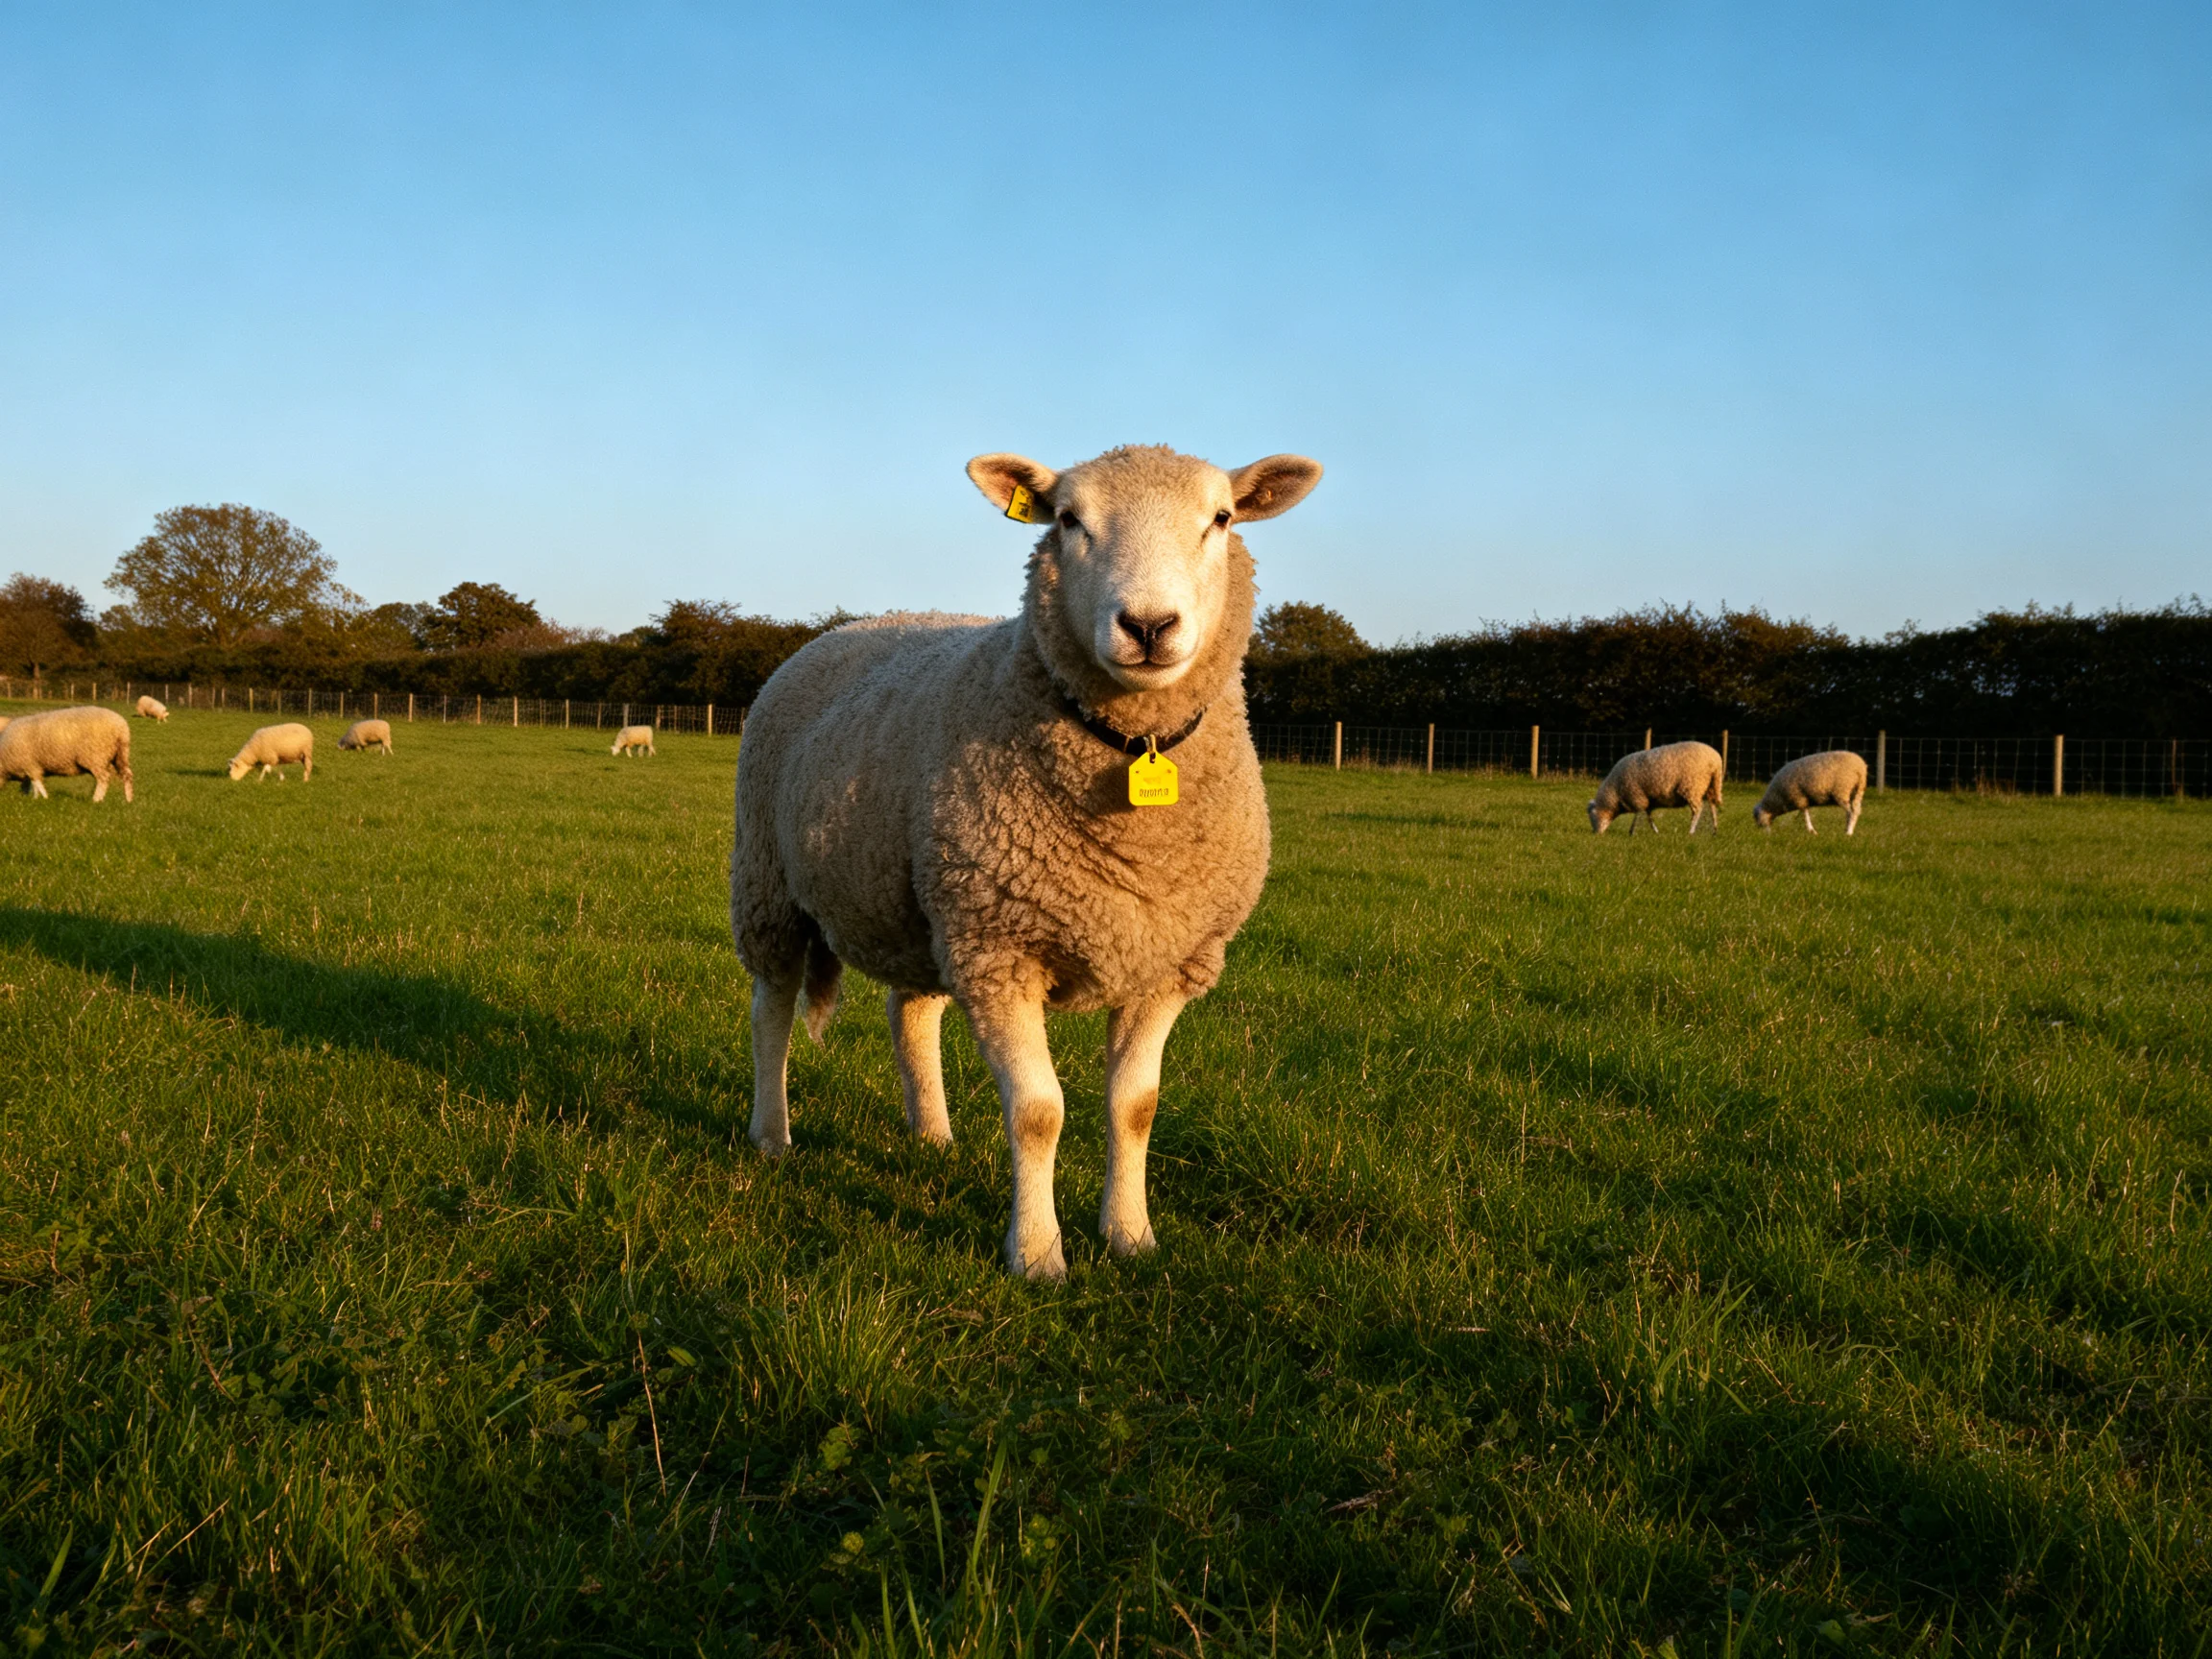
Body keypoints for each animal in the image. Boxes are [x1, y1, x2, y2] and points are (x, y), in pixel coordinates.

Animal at [0, 705, 134, 802]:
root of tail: (121, 727)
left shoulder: (30, 765)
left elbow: (37, 783)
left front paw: (44, 798)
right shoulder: (31, 767)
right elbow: (32, 785)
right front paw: (34, 798)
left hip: (95, 756)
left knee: (103, 778)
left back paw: (96, 800)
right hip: (121, 754)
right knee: (127, 775)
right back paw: (128, 800)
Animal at [732, 442, 1323, 1280]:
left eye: (1221, 518)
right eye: (1069, 519)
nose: (1148, 625)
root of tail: (852, 623)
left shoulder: (1166, 963)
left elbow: (1135, 1108)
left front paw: (1130, 1235)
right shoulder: (1002, 952)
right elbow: (1040, 1112)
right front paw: (1039, 1254)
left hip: (929, 907)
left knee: (910, 1012)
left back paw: (932, 1133)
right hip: (770, 884)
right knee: (772, 1010)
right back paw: (772, 1134)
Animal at [1588, 740, 1725, 834]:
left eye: (1592, 817)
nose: (1596, 834)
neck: (1614, 793)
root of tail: (1716, 760)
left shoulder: (1637, 797)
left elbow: (1639, 815)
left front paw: (1632, 831)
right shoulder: (1647, 800)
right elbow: (1649, 817)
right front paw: (1655, 831)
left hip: (1692, 787)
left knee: (1697, 810)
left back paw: (1691, 831)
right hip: (1710, 787)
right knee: (1713, 807)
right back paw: (1715, 830)